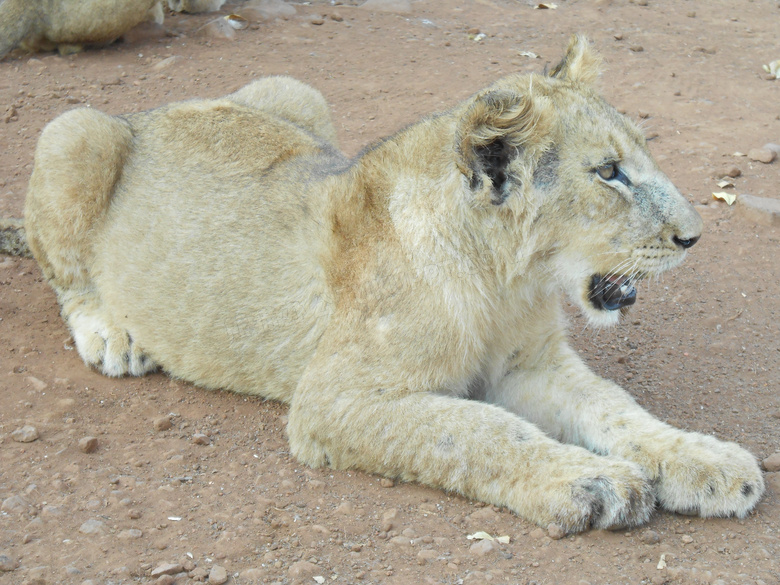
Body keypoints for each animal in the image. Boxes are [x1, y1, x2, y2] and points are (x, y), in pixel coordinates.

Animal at [13, 34, 768, 532]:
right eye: (609, 173)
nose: (695, 236)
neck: (506, 278)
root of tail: (164, 105)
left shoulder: (534, 365)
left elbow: (616, 407)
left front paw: (708, 460)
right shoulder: (334, 398)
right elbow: (482, 429)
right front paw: (592, 479)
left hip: (294, 91)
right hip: (74, 131)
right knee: (66, 277)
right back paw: (113, 335)